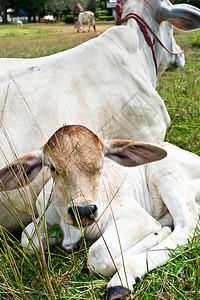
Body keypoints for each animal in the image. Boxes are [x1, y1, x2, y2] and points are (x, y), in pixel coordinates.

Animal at [0, 125, 199, 300]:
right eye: (53, 167)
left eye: (100, 164)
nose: (82, 211)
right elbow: (27, 241)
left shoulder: (138, 218)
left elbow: (99, 254)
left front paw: (156, 236)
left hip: (165, 172)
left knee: (187, 225)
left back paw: (121, 280)